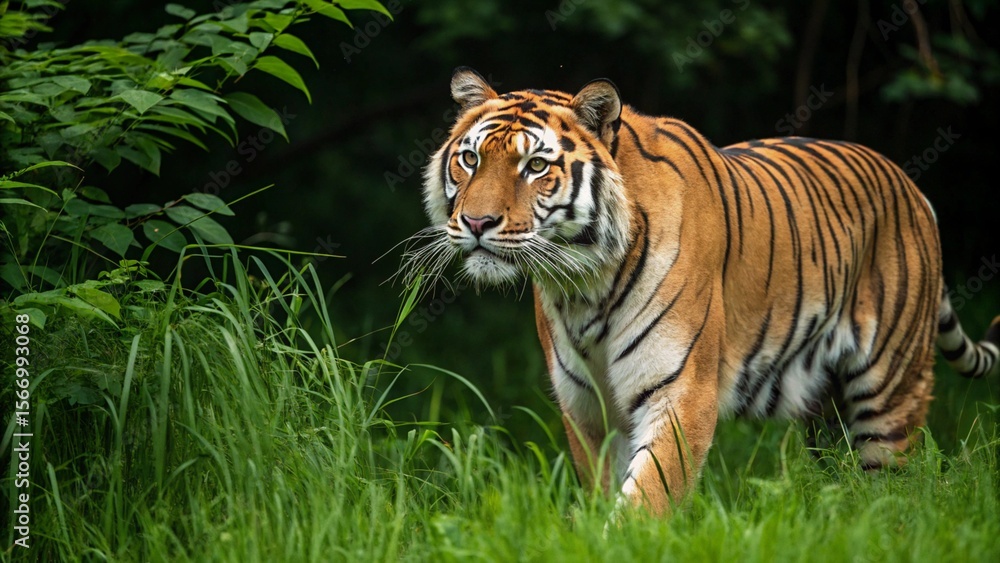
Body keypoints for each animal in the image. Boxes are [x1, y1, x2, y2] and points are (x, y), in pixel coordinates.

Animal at [410, 67, 1000, 515]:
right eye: (470, 158)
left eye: (535, 166)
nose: (477, 222)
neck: (583, 284)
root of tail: (912, 186)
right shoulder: (586, 405)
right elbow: (604, 487)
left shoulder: (680, 390)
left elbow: (648, 494)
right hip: (825, 411)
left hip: (891, 391)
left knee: (893, 480)